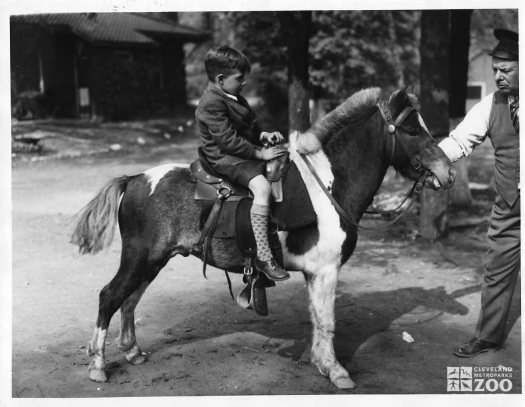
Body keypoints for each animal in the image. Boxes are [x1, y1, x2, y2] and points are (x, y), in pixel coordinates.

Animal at [72, 87, 454, 390]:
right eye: (411, 129)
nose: (448, 172)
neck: (329, 184)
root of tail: (135, 179)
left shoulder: (316, 273)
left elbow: (318, 318)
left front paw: (319, 363)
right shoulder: (327, 270)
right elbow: (328, 321)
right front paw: (336, 372)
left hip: (153, 261)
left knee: (130, 301)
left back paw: (133, 352)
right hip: (139, 258)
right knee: (110, 297)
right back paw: (97, 366)